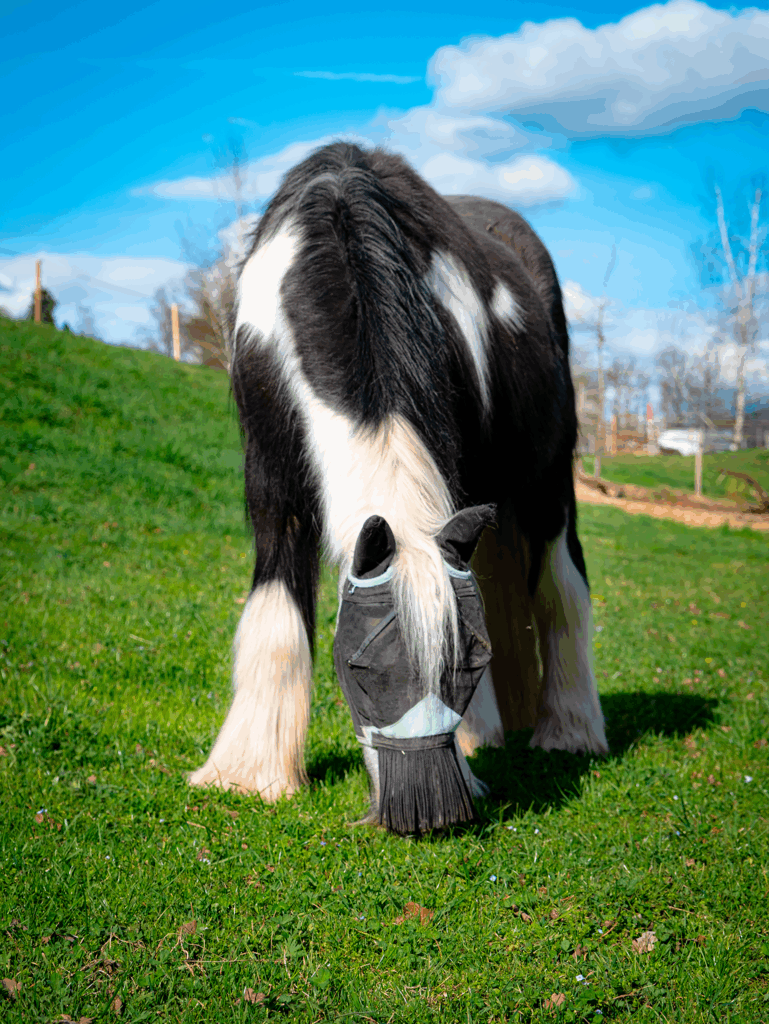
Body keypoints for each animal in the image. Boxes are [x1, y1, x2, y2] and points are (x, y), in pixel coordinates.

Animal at [188, 142, 608, 833]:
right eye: (360, 667)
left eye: (470, 662)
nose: (429, 812)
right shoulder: (272, 491)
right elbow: (276, 616)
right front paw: (250, 775)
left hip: (547, 480)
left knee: (560, 584)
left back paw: (569, 731)